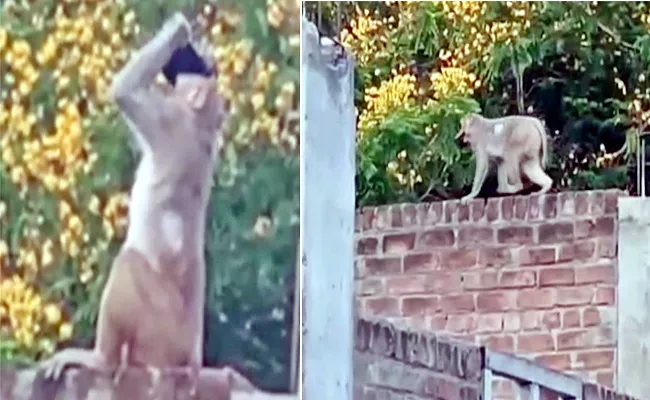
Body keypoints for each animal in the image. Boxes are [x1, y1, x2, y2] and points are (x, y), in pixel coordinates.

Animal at [37, 11, 264, 396]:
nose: (200, 60)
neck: (200, 124)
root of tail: (184, 361)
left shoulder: (169, 119)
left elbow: (125, 92)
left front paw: (177, 32)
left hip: (156, 326)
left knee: (130, 262)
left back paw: (99, 360)